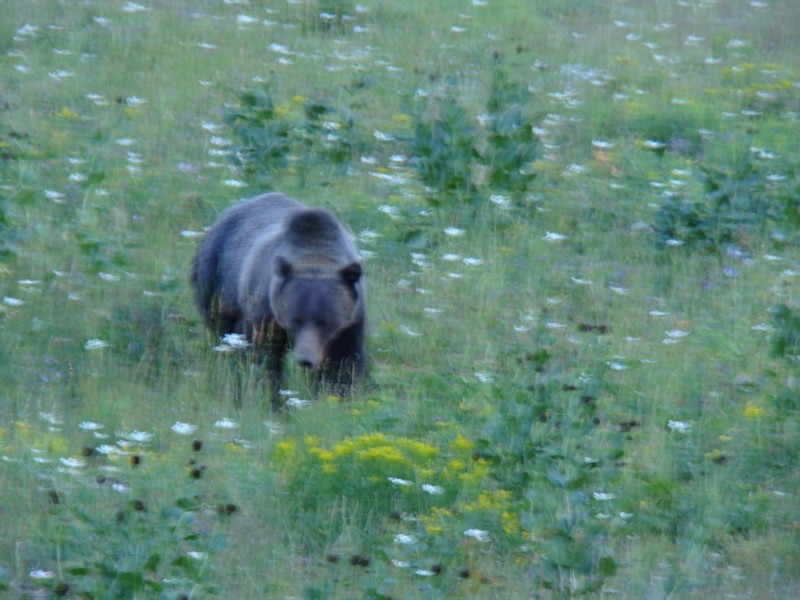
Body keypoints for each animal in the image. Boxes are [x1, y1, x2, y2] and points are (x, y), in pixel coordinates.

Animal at [192, 195, 368, 406]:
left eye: (325, 321)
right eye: (296, 319)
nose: (305, 359)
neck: (315, 256)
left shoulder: (351, 320)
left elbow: (344, 362)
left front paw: (337, 396)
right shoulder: (266, 312)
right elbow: (265, 358)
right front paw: (272, 399)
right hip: (216, 279)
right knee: (220, 327)